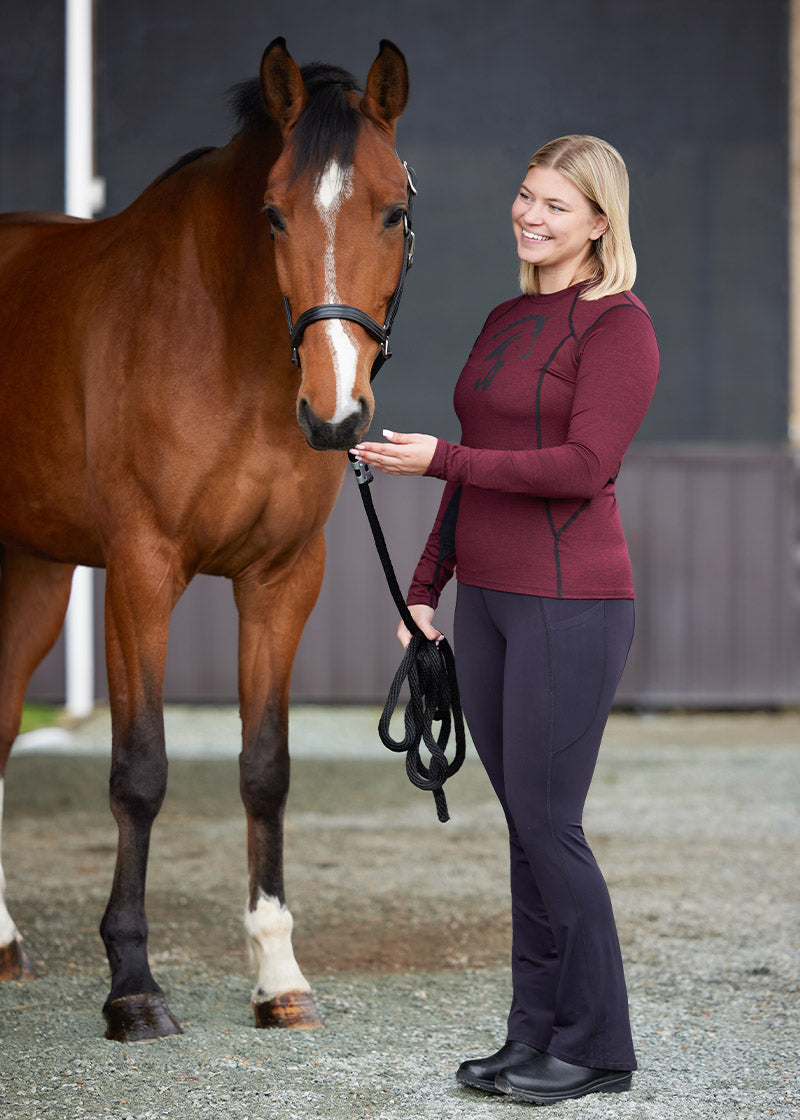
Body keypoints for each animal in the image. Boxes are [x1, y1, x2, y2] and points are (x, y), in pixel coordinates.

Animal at [0, 39, 412, 1043]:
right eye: (273, 213)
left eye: (394, 209)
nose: (334, 414)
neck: (225, 344)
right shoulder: (142, 573)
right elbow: (140, 771)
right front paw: (133, 988)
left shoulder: (282, 579)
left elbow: (266, 770)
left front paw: (278, 976)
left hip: (35, 574)